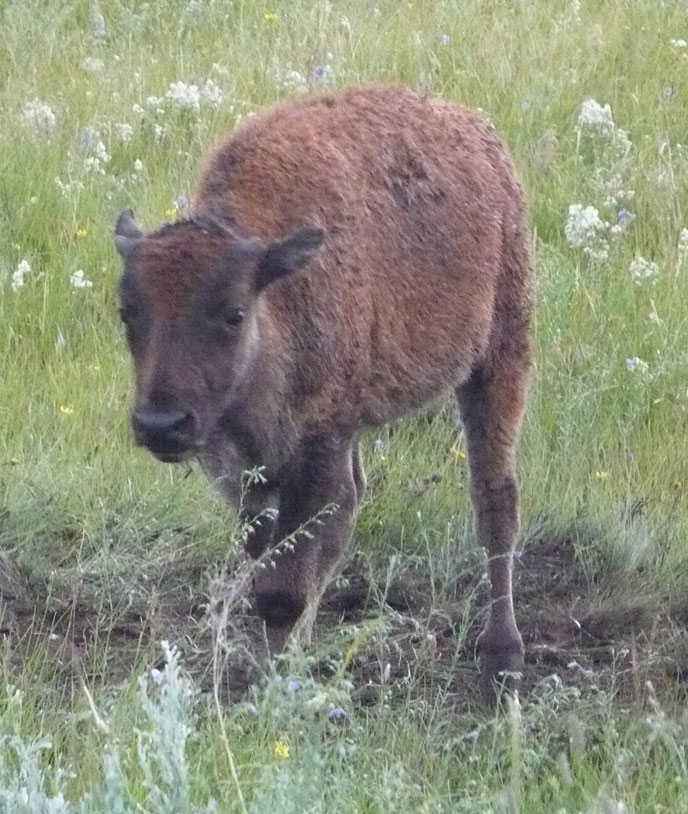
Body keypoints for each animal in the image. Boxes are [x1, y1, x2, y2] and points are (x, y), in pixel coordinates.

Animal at [115, 87, 532, 700]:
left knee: (495, 500)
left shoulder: (318, 444)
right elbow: (273, 561)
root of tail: (478, 134)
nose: (161, 425)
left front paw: (273, 688)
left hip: (500, 355)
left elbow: (282, 588)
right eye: (127, 312)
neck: (276, 297)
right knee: (351, 507)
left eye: (233, 313)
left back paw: (502, 659)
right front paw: (277, 670)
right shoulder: (241, 466)